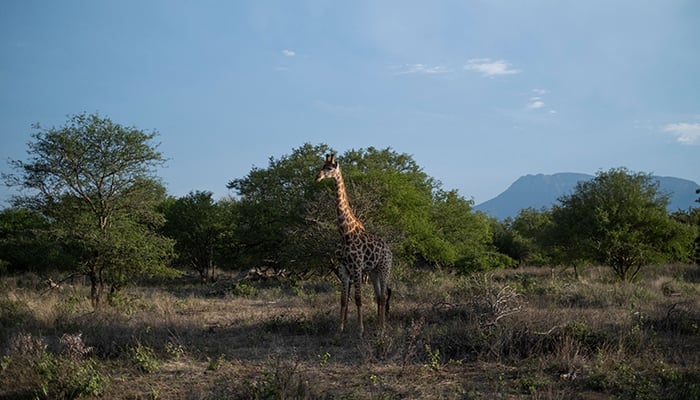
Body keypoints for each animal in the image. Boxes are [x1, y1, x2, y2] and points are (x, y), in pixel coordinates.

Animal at [314, 153, 392, 334]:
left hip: (385, 268)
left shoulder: (356, 266)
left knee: (384, 295)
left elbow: (358, 298)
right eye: (321, 166)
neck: (345, 233)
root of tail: (389, 250)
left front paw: (360, 329)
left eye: (330, 168)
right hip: (373, 271)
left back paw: (382, 329)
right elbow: (343, 299)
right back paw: (377, 328)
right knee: (379, 296)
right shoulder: (343, 267)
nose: (317, 177)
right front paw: (340, 328)